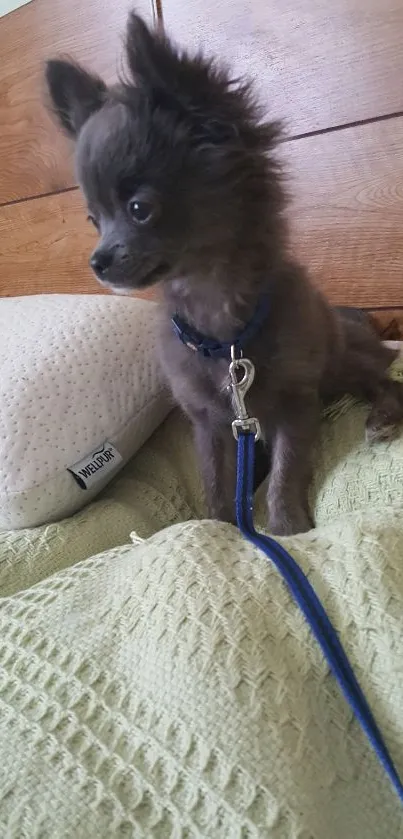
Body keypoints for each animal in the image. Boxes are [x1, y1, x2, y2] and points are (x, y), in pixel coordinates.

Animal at [44, 13, 403, 536]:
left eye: (139, 209)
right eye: (94, 219)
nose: (97, 261)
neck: (218, 317)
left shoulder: (297, 401)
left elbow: (289, 467)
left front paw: (286, 526)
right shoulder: (211, 423)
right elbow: (216, 477)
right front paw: (218, 525)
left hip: (336, 360)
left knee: (380, 376)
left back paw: (382, 415)